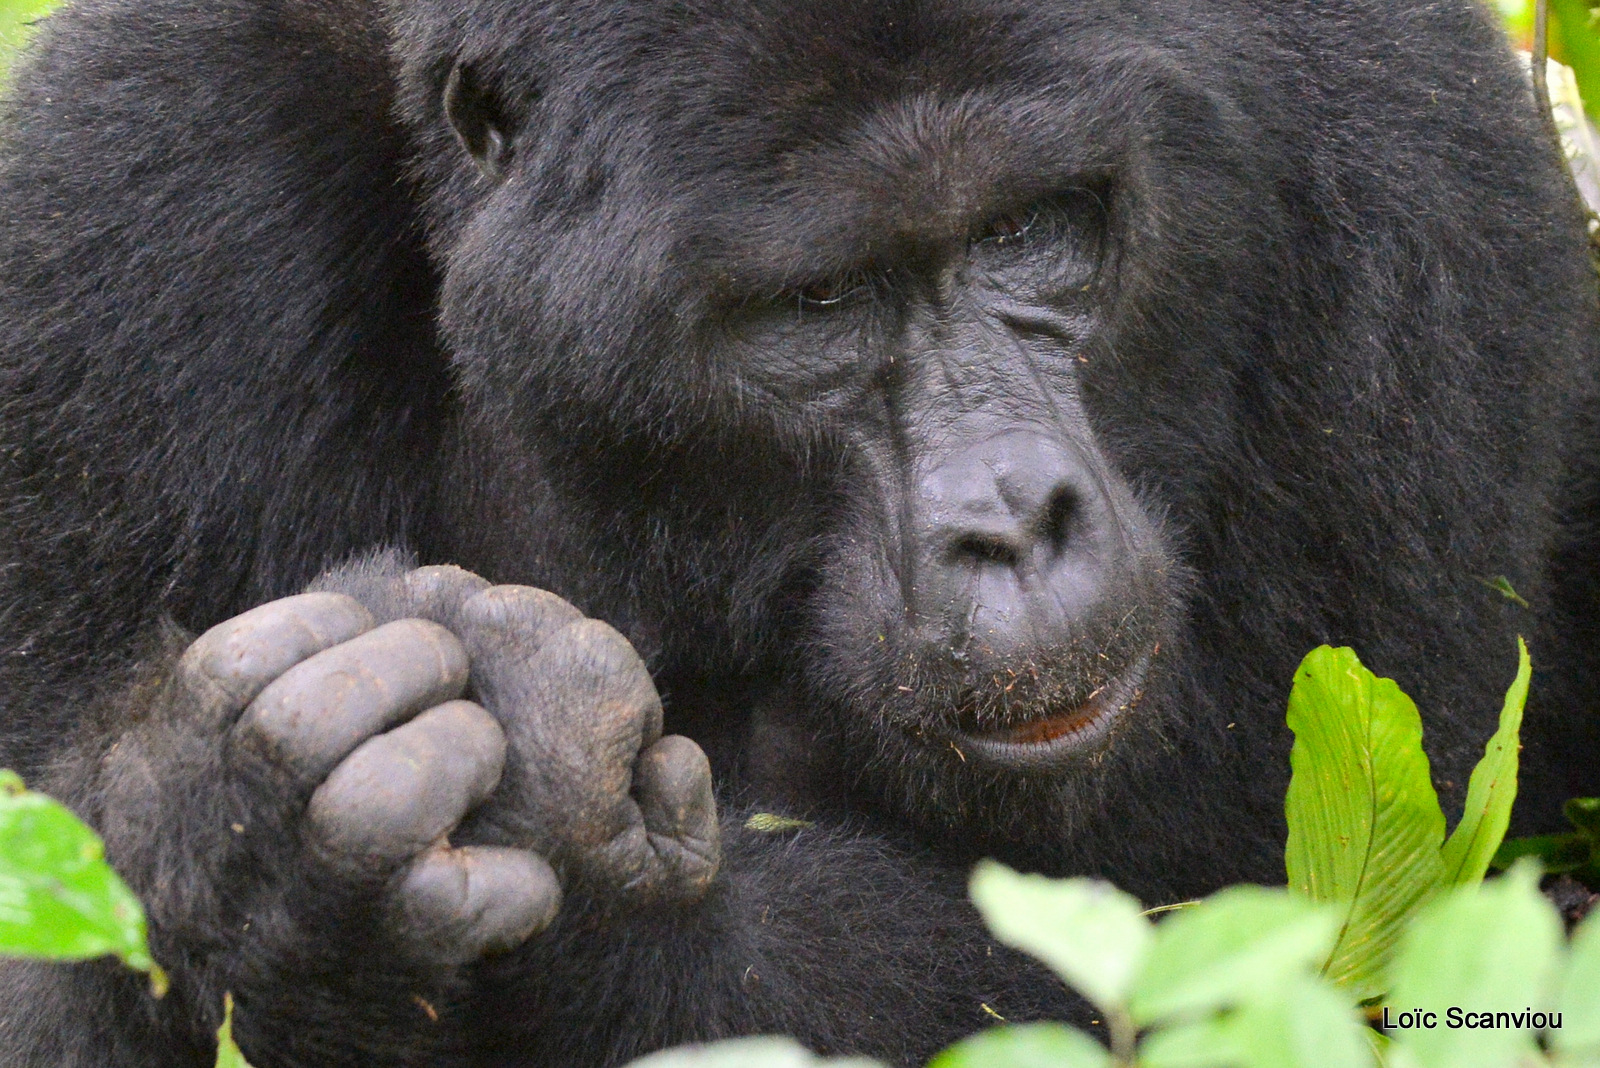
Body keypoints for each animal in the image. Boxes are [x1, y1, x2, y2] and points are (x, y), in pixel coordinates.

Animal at [3, 0, 1600, 1061]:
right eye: (815, 304)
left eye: (1029, 230)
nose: (1014, 523)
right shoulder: (120, 212)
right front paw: (232, 828)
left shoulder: (1411, 182)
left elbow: (1251, 951)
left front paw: (583, 885)